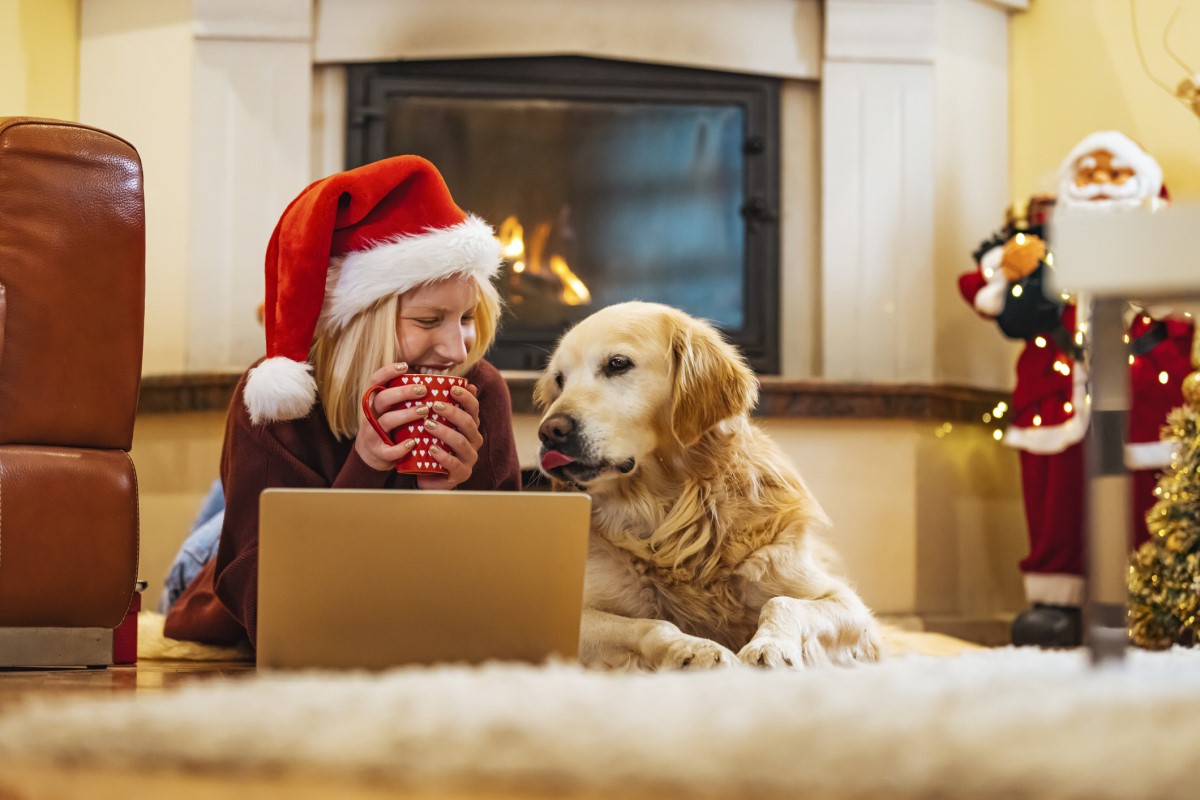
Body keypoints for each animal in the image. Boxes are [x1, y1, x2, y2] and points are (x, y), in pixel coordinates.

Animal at [535, 299, 883, 671]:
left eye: (617, 364)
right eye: (559, 380)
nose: (549, 432)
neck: (670, 514)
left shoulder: (847, 605)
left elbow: (782, 602)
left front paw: (771, 646)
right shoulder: (580, 611)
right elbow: (653, 623)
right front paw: (695, 649)